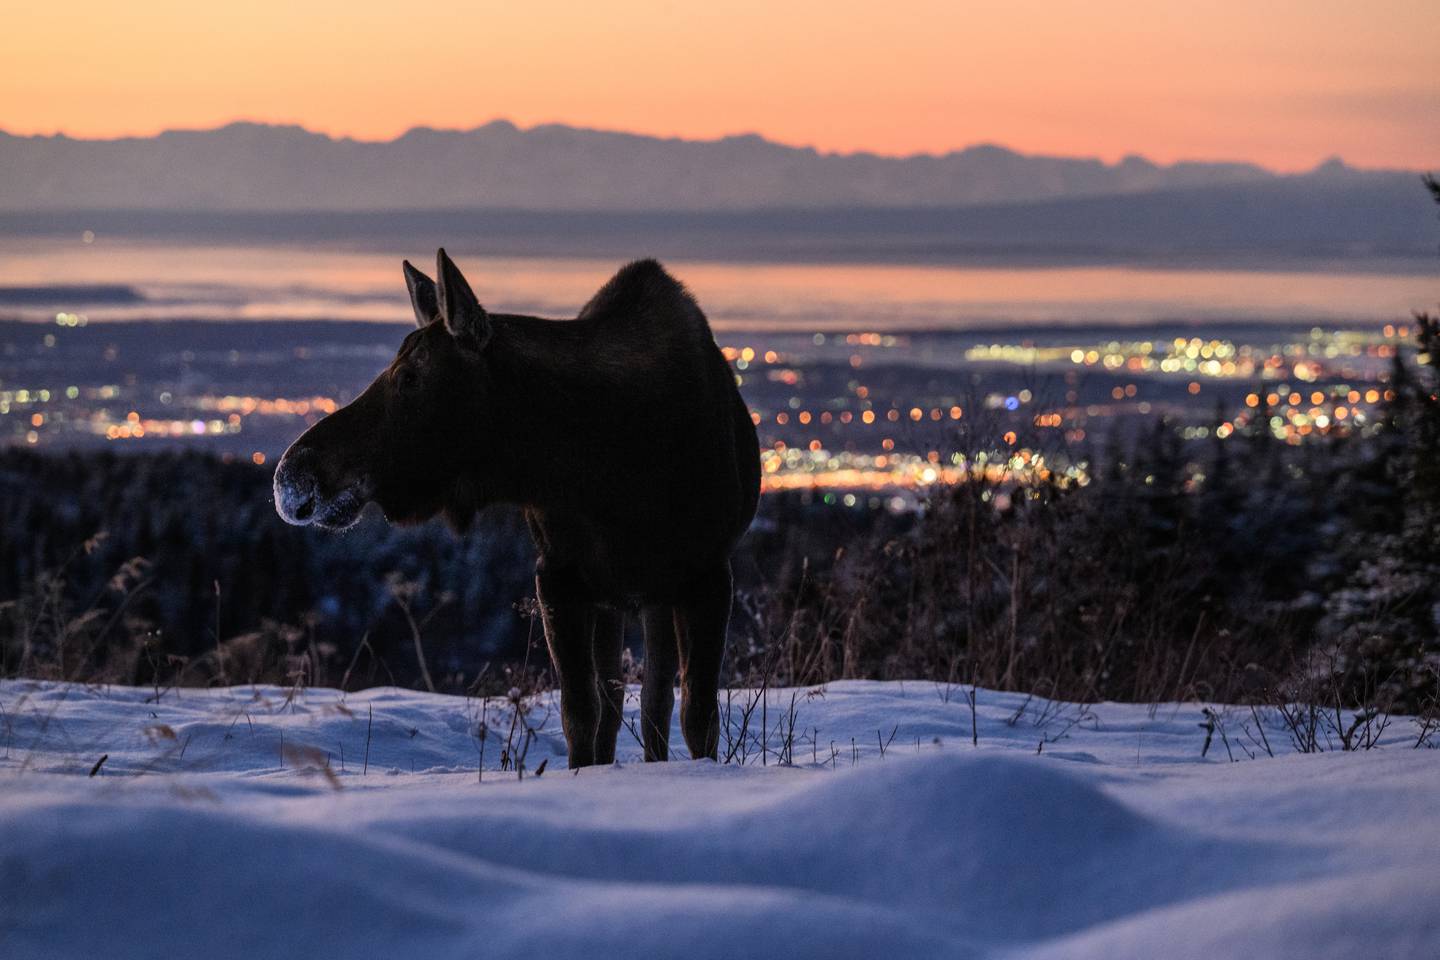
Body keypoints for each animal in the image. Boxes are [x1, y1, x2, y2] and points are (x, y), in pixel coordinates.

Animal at [272, 251, 766, 771]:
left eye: (409, 377)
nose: (292, 475)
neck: (609, 474)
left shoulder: (708, 574)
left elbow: (698, 716)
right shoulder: (560, 576)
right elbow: (582, 714)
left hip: (655, 592)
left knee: (655, 699)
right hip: (618, 597)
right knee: (618, 700)